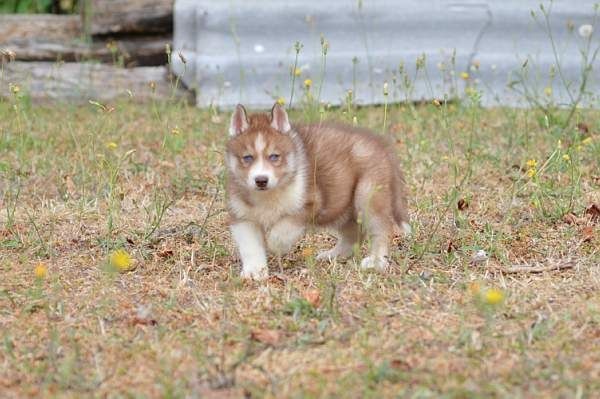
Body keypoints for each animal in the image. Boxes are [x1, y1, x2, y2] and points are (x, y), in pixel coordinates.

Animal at [225, 103, 408, 280]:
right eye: (247, 158)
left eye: (274, 156)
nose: (261, 180)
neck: (267, 195)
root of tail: (381, 144)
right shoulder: (243, 218)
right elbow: (250, 247)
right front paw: (254, 271)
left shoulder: (310, 203)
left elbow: (284, 226)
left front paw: (275, 243)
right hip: (341, 205)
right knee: (354, 233)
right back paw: (333, 255)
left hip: (367, 196)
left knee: (382, 229)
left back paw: (377, 261)